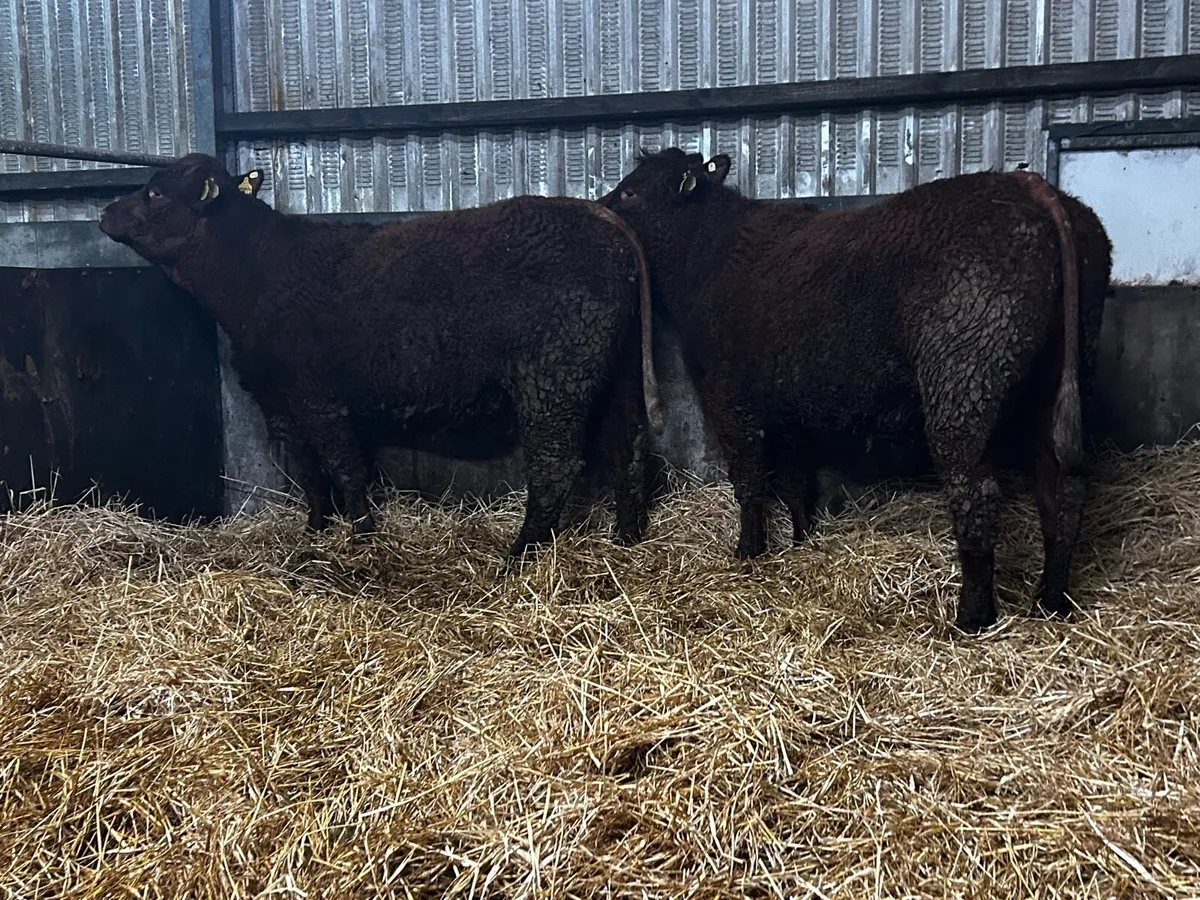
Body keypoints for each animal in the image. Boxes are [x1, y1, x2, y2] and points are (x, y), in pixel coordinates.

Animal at [99, 153, 664, 561]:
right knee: (630, 445)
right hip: (610, 373)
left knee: (556, 463)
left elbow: (344, 468)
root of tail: (601, 217)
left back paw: (520, 555)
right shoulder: (282, 403)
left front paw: (362, 535)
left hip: (554, 377)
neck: (257, 271)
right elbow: (310, 475)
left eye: (155, 191)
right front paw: (315, 531)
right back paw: (626, 537)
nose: (104, 213)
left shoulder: (319, 398)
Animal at [602, 148, 1112, 632]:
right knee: (1063, 488)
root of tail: (1032, 188)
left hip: (963, 379)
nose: (600, 207)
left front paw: (749, 550)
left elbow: (749, 480)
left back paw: (973, 616)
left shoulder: (732, 399)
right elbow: (795, 480)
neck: (709, 254)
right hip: (1058, 381)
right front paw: (801, 541)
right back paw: (1050, 600)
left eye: (630, 192)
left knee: (978, 494)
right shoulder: (785, 405)